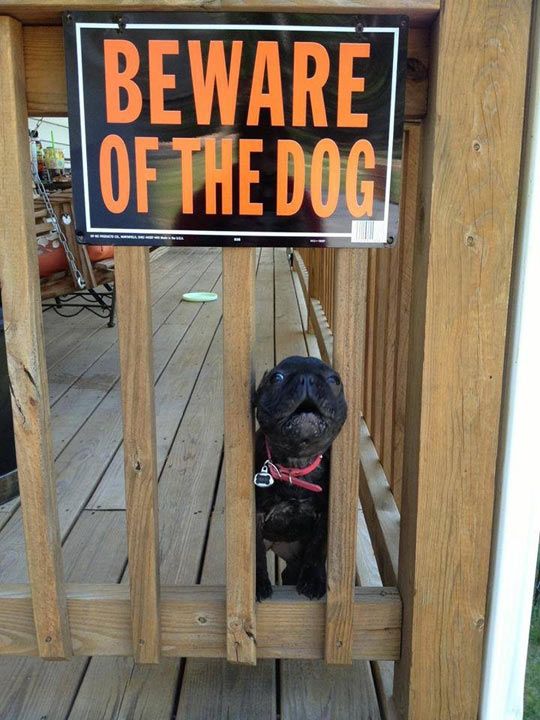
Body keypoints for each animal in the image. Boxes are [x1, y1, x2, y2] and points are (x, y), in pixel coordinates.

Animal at [252, 356, 346, 600]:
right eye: (276, 378)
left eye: (335, 380)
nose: (306, 379)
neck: (295, 467)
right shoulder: (254, 517)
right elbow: (255, 553)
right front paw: (257, 583)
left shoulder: (324, 517)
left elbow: (317, 549)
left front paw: (313, 579)